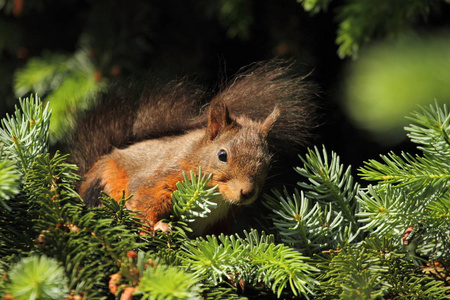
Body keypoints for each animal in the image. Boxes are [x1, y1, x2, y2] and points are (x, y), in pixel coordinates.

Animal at [69, 59, 316, 236]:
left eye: (268, 161)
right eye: (222, 155)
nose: (246, 192)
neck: (216, 196)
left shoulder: (221, 220)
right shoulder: (163, 177)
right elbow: (144, 202)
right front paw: (156, 227)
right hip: (106, 181)